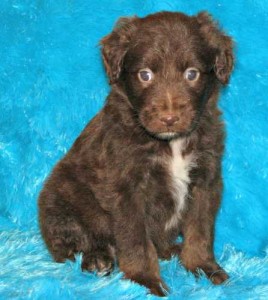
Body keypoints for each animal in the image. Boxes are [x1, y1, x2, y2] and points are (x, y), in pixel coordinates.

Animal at [38, 11, 233, 296]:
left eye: (192, 74)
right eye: (145, 75)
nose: (169, 118)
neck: (169, 143)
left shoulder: (206, 180)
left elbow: (200, 231)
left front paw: (202, 267)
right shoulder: (126, 189)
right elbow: (136, 240)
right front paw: (145, 280)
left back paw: (171, 250)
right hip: (59, 202)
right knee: (71, 247)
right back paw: (97, 259)